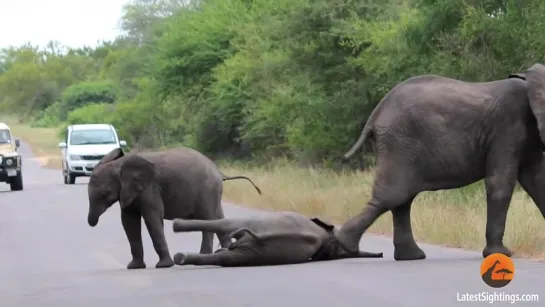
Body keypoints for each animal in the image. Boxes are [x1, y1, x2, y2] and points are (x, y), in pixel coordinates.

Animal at [86, 147, 262, 270]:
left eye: (104, 194)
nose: (91, 223)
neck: (118, 165)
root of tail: (218, 170)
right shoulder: (129, 191)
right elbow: (129, 223)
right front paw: (134, 267)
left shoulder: (150, 188)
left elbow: (152, 219)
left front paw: (164, 266)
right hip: (213, 192)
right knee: (218, 218)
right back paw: (225, 252)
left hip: (206, 189)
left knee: (206, 218)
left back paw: (204, 255)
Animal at [171, 212, 382, 268]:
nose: (380, 254)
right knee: (225, 224)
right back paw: (176, 226)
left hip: (252, 250)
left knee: (226, 255)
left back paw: (180, 257)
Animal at [334, 63, 544, 262]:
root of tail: (376, 112)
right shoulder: (506, 128)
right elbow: (500, 182)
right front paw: (500, 254)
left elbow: (536, 180)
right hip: (399, 144)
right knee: (393, 196)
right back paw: (344, 243)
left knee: (402, 200)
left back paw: (410, 256)